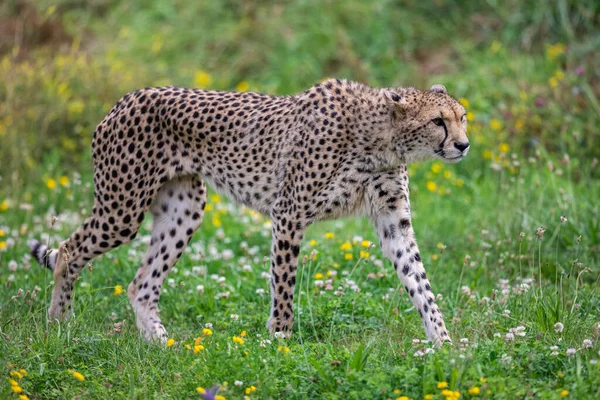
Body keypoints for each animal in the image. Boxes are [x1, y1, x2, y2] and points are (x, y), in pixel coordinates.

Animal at [30, 79, 468, 346]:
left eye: (462, 117)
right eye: (438, 121)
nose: (463, 145)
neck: (383, 138)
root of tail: (128, 96)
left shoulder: (394, 223)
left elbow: (420, 283)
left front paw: (445, 345)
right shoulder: (289, 215)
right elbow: (284, 286)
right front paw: (281, 342)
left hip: (184, 210)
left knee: (141, 284)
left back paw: (161, 343)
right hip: (122, 209)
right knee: (68, 251)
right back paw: (58, 326)